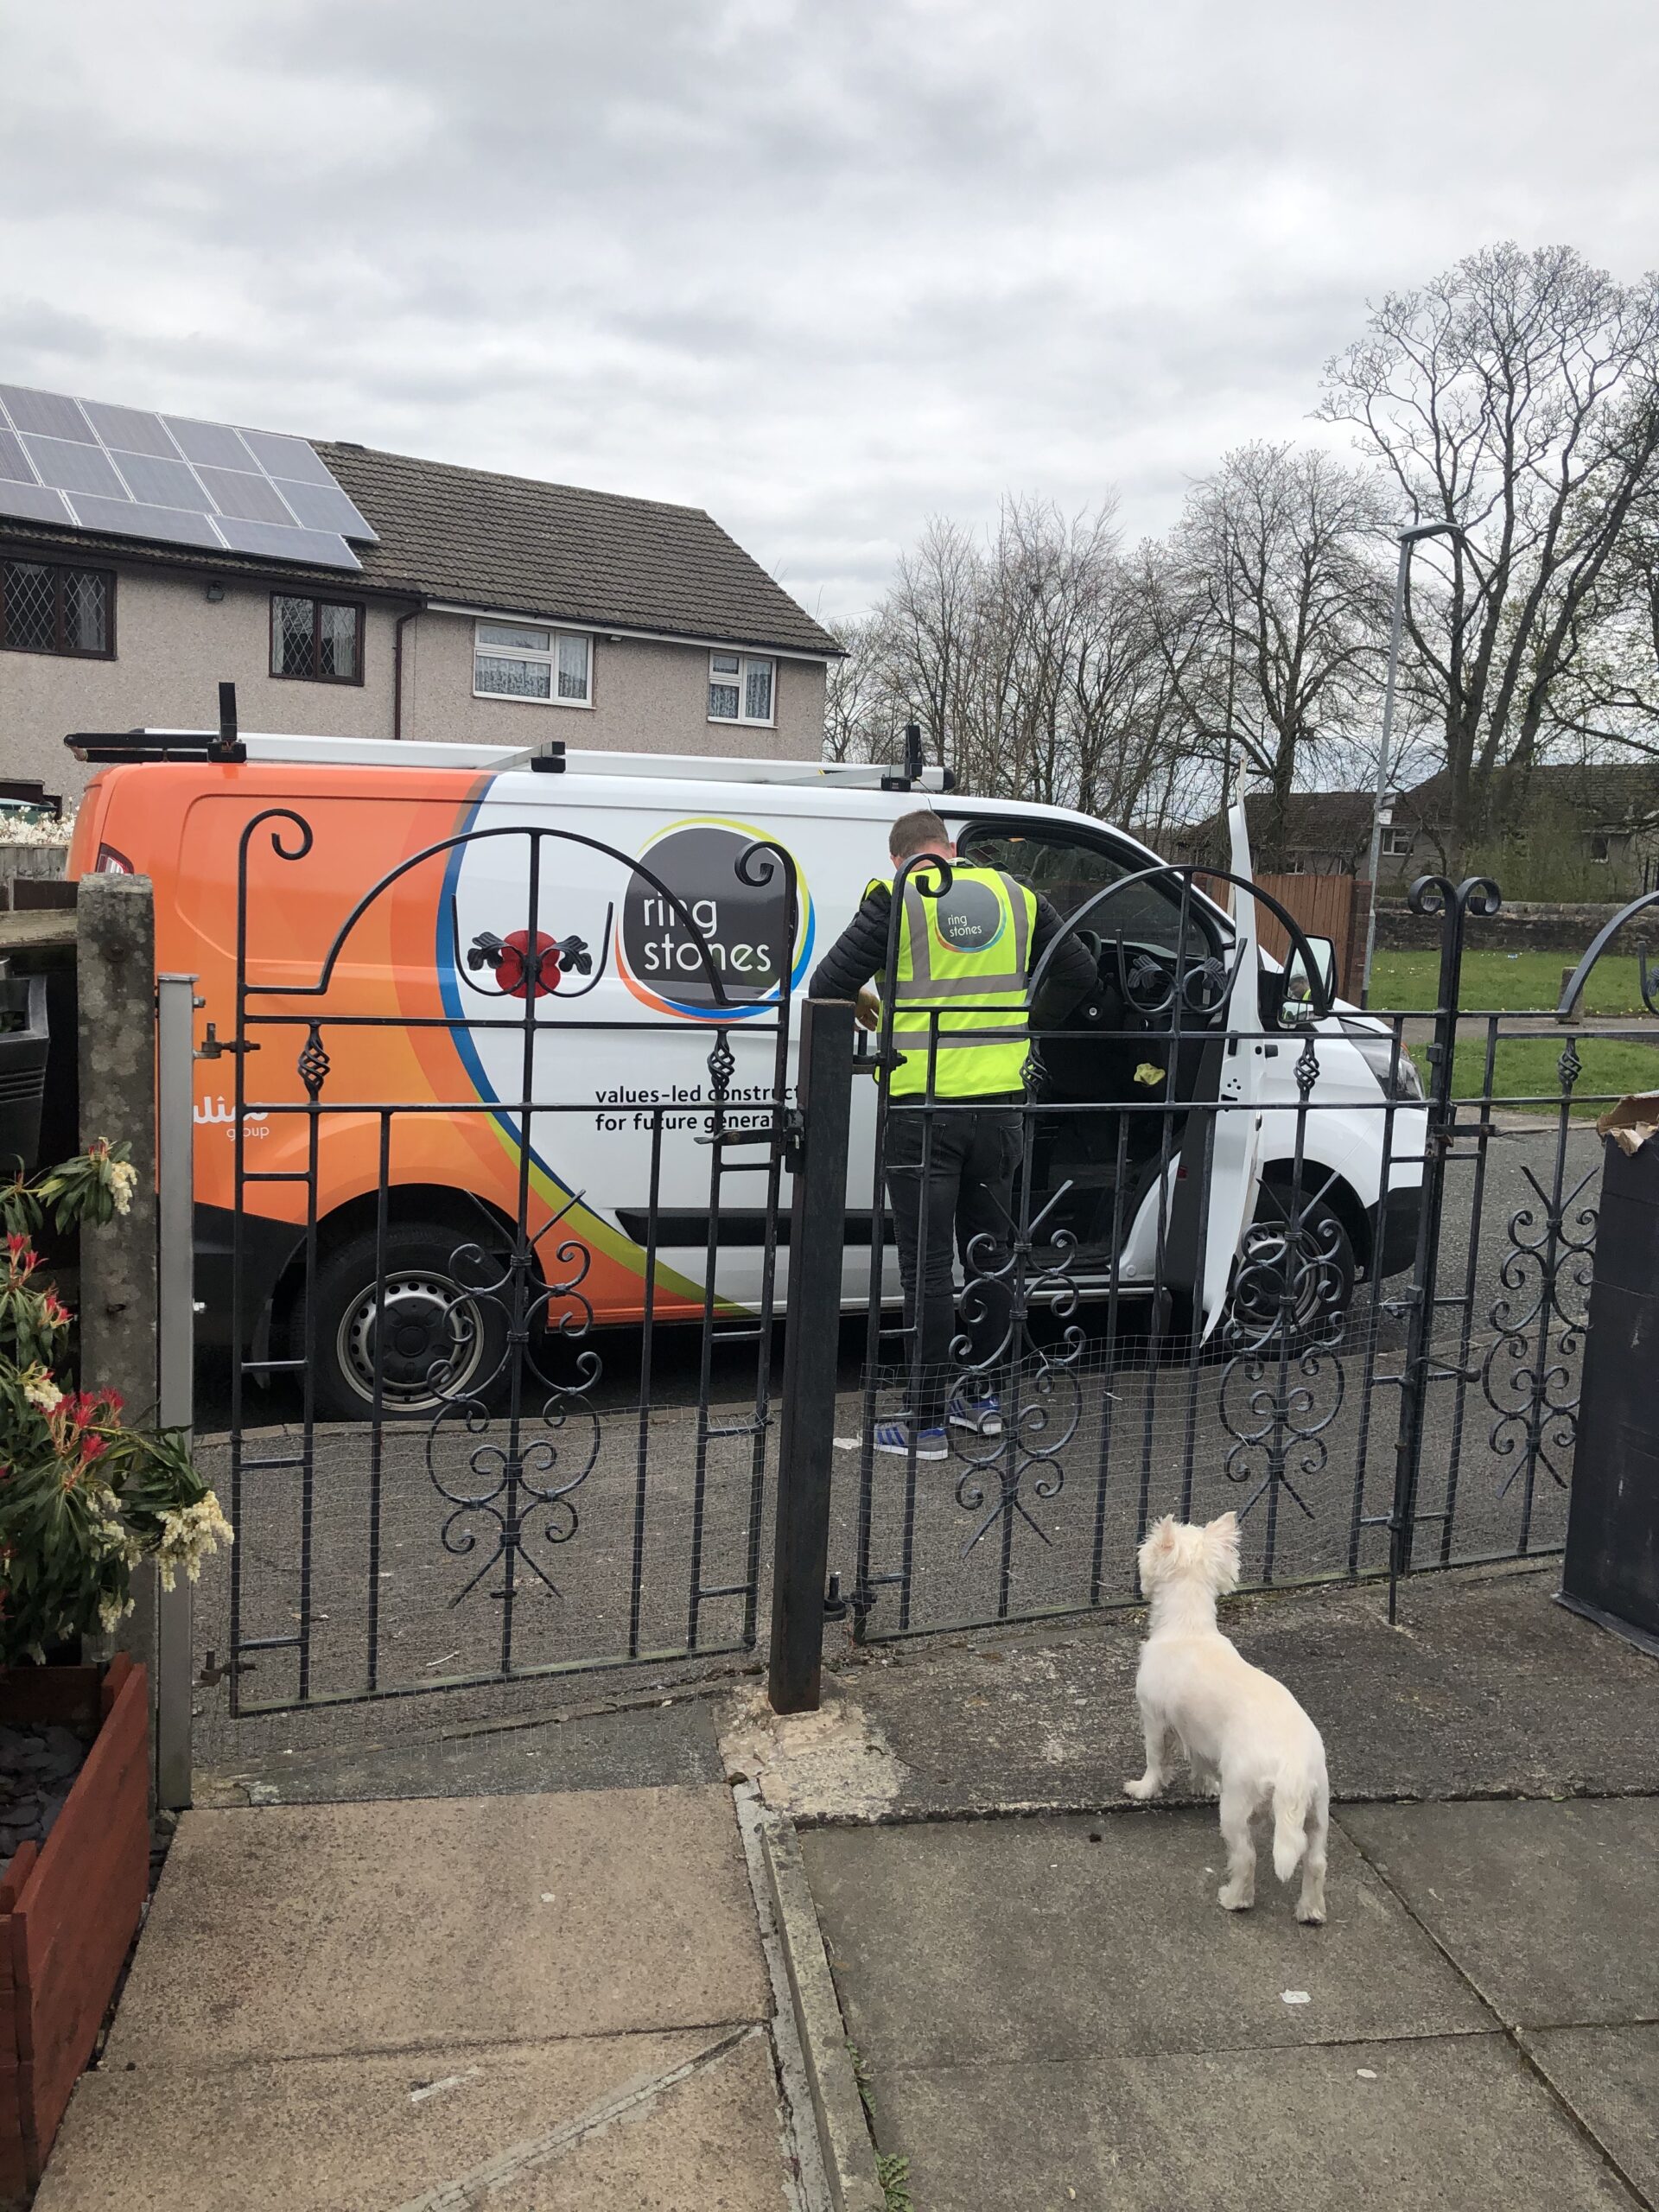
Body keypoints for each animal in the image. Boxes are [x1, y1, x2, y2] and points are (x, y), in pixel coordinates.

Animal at [1123, 1503, 1336, 1920]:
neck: (1187, 1627)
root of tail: (1291, 1767)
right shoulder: (1197, 1732)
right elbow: (1201, 1760)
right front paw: (1203, 1784)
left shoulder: (1154, 1717)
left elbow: (1156, 1759)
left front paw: (1143, 1788)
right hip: (1318, 1810)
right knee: (1315, 1862)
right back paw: (1310, 1911)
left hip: (1238, 1806)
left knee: (1247, 1856)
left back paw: (1235, 1898)